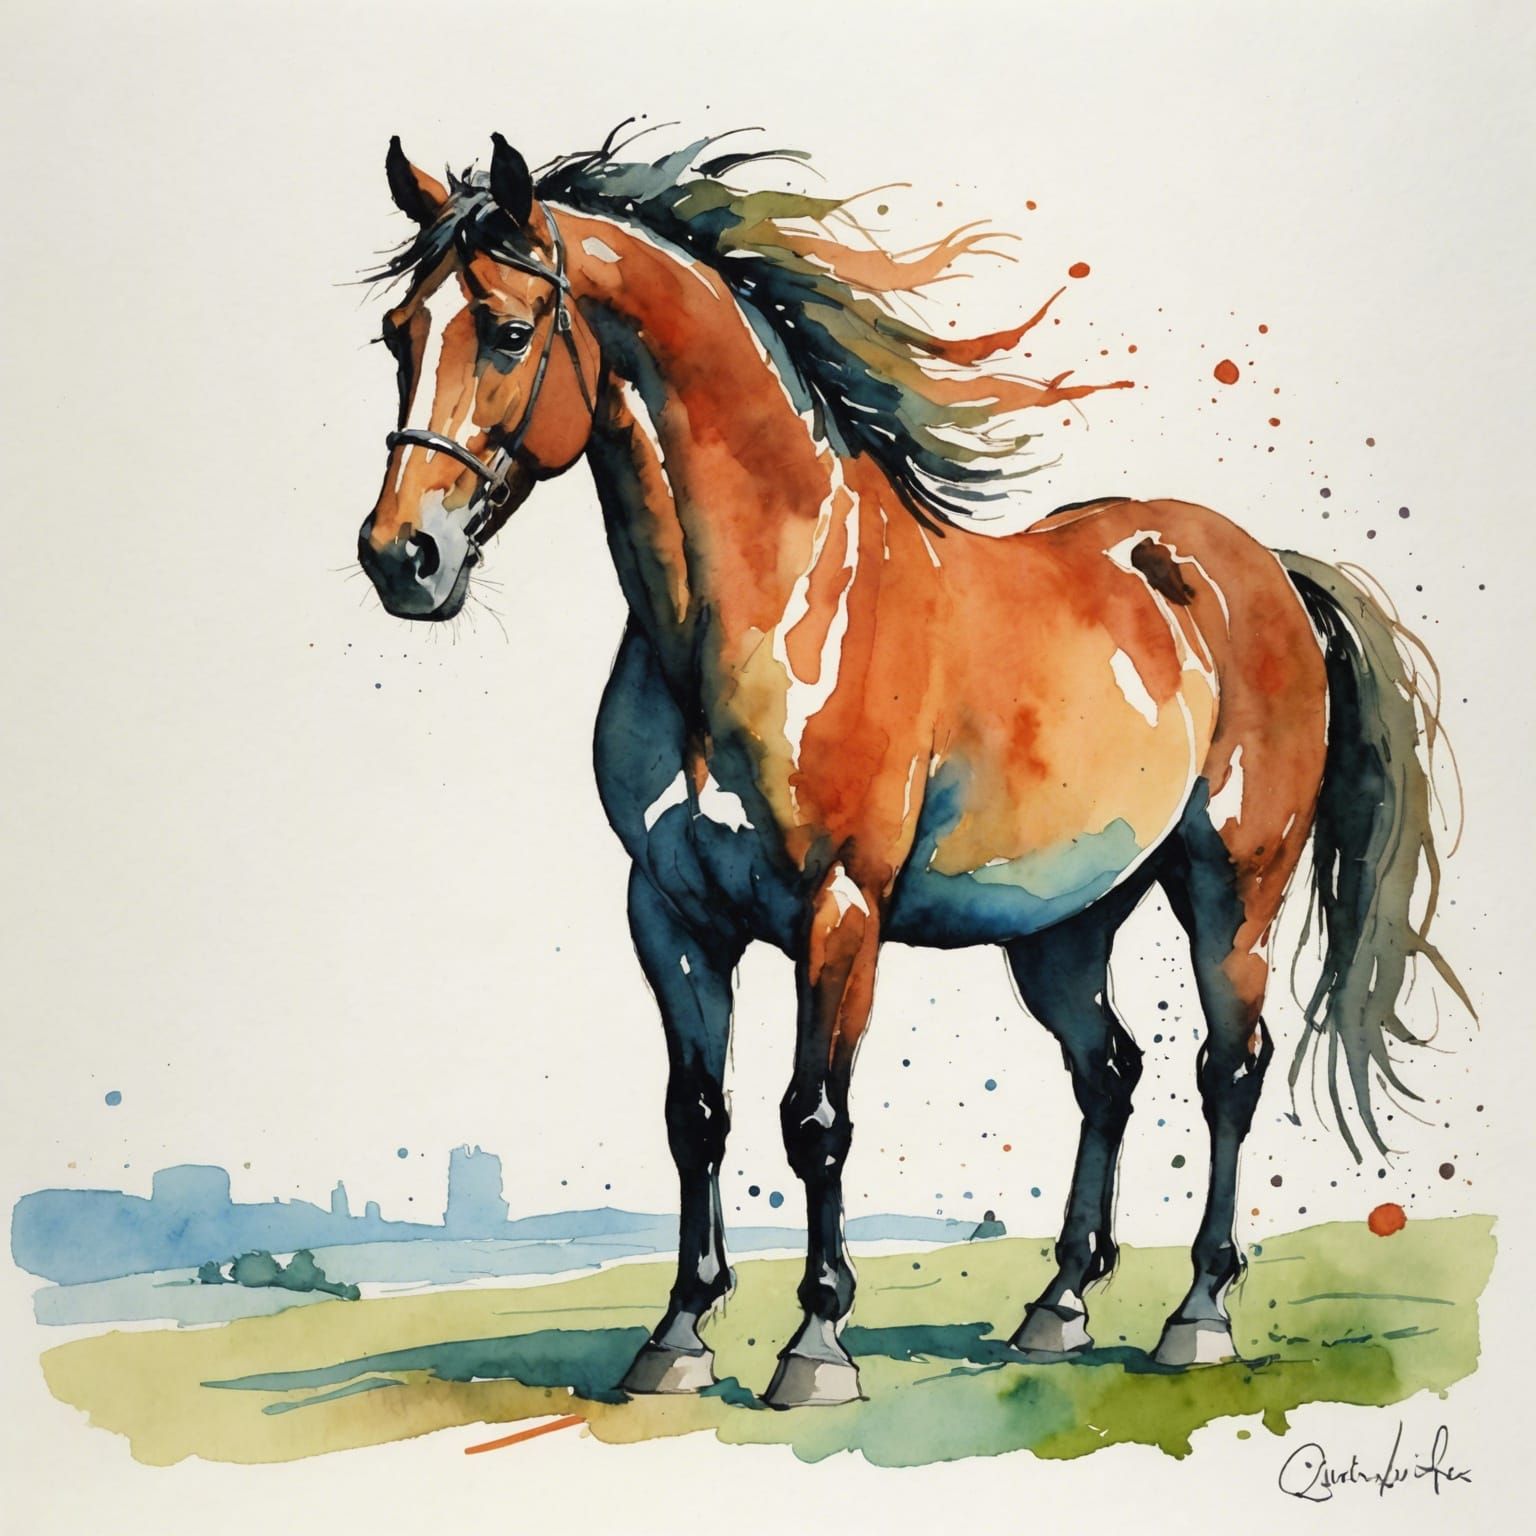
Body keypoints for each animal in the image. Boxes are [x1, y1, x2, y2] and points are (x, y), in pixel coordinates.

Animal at [355, 128, 1465, 1408]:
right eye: (396, 333)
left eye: (505, 330)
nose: (402, 558)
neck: (773, 606)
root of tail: (1260, 567)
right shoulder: (669, 911)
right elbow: (698, 1115)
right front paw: (677, 1337)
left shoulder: (841, 910)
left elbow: (815, 1119)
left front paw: (816, 1344)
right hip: (1062, 925)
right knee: (1110, 1071)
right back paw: (1058, 1308)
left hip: (1231, 891)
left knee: (1225, 1071)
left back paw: (1197, 1316)